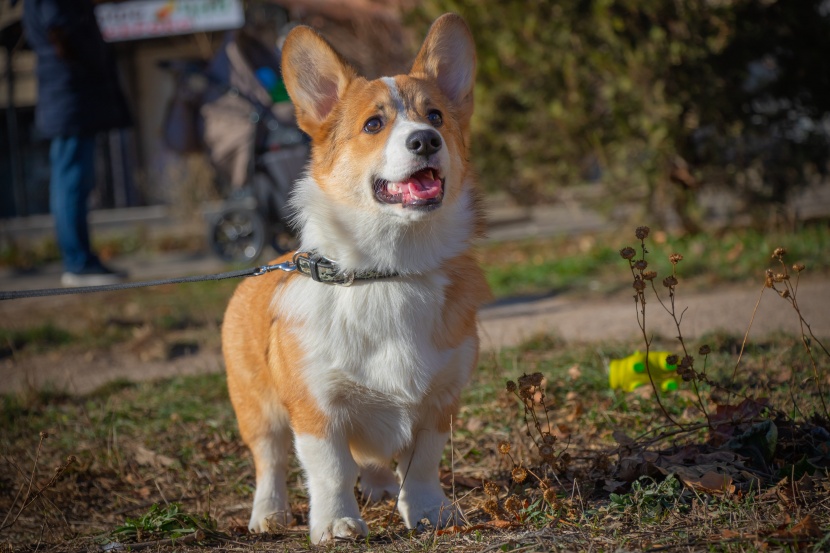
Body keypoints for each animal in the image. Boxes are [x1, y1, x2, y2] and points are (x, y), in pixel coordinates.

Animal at [223, 14, 494, 544]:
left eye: (435, 117)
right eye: (374, 124)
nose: (424, 141)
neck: (388, 272)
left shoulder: (438, 403)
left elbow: (422, 465)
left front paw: (430, 511)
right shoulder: (317, 407)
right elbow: (330, 470)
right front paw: (336, 524)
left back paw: (381, 486)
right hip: (257, 409)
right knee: (269, 461)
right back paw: (268, 513)